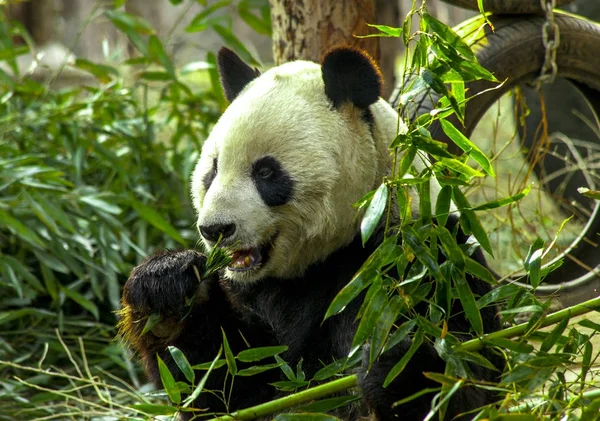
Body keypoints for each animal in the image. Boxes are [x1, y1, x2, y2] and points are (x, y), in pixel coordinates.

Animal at [120, 46, 502, 420]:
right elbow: (227, 381)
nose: (215, 229)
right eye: (212, 171)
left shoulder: (426, 261)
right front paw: (165, 287)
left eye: (266, 172)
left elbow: (473, 375)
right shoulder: (254, 294)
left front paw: (398, 366)